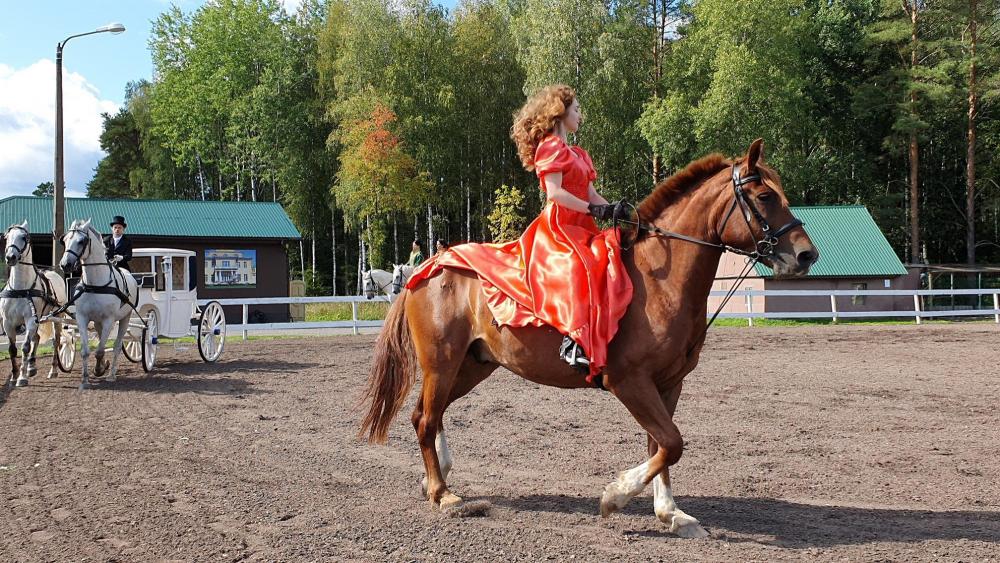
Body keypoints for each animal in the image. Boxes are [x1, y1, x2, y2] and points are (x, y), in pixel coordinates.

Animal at [1, 221, 68, 388]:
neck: (20, 289)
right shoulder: (7, 322)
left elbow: (25, 347)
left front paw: (22, 377)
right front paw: (14, 376)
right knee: (36, 338)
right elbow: (12, 349)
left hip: (57, 317)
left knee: (56, 341)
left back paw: (53, 370)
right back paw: (32, 366)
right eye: (6, 237)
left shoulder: (30, 320)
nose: (10, 257)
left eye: (24, 237)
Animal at [58, 218, 139, 390]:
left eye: (81, 241)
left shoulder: (109, 320)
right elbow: (86, 351)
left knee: (117, 346)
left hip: (125, 318)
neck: (95, 284)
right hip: (97, 322)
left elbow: (101, 350)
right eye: (65, 239)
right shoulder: (82, 318)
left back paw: (111, 374)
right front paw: (85, 379)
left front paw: (99, 370)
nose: (65, 264)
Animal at [359, 140, 819, 537]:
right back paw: (443, 494)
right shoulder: (629, 381)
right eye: (765, 197)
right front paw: (616, 496)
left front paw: (671, 514)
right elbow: (671, 442)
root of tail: (430, 267)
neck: (658, 280)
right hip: (442, 362)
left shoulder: (668, 384)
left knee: (427, 414)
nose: (806, 255)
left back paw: (435, 478)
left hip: (472, 366)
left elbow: (661, 445)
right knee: (425, 418)